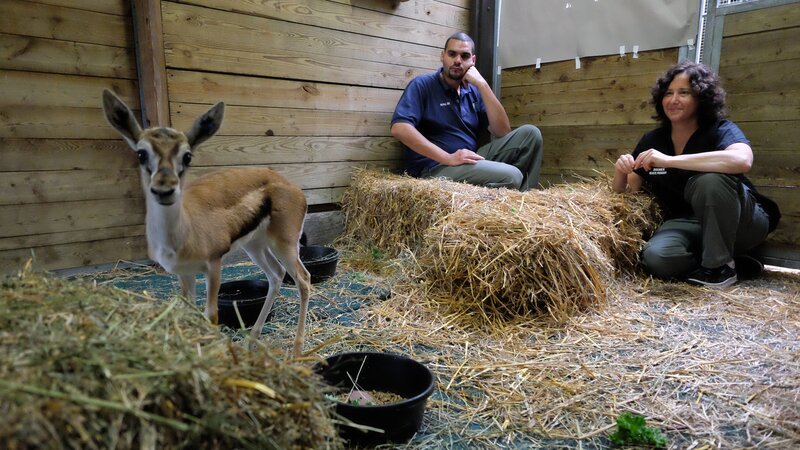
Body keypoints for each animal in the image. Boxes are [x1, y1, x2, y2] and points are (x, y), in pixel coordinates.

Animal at [102, 89, 311, 357]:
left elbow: (210, 315)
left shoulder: (214, 264)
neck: (182, 234)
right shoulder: (184, 272)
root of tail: (293, 187)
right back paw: (251, 341)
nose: (164, 189)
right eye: (141, 153)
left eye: (187, 155)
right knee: (276, 275)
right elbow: (189, 312)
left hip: (284, 244)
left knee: (303, 279)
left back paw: (297, 349)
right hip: (254, 245)